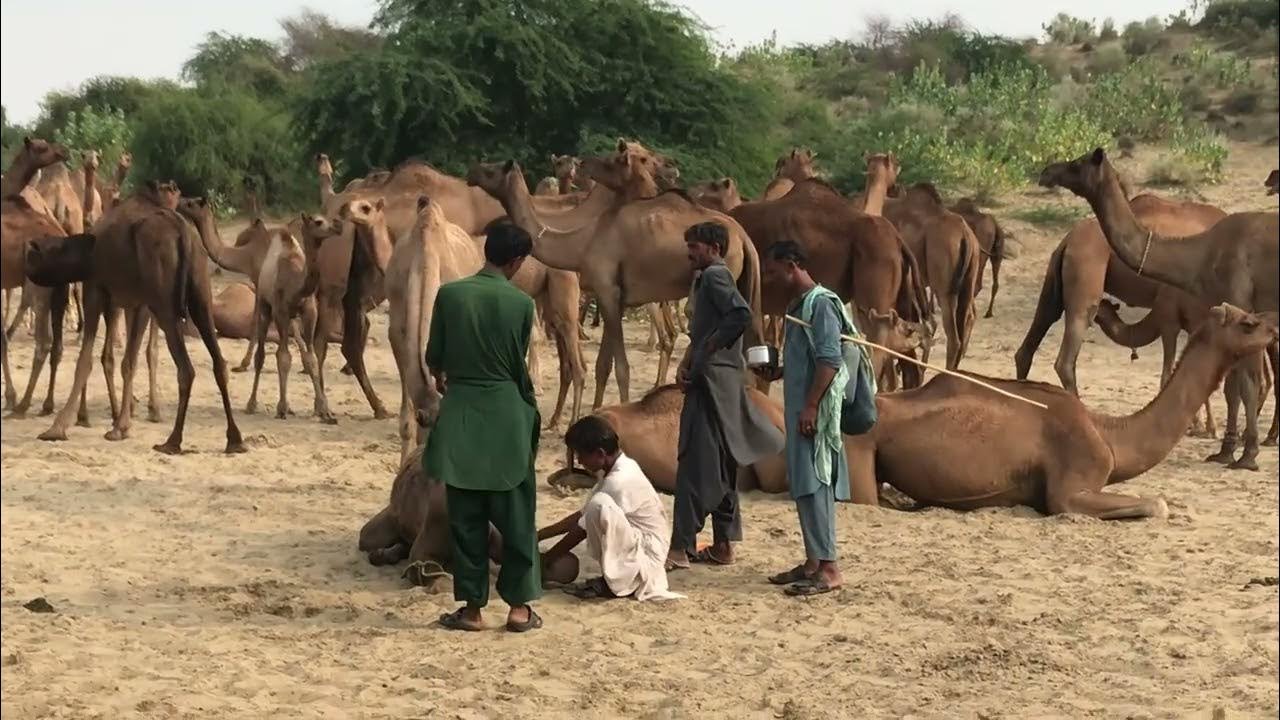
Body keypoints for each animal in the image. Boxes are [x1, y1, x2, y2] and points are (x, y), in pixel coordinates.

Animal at [27, 179, 246, 453]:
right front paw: (121, 426)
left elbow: (85, 361)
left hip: (163, 302)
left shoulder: (96, 289)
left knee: (186, 369)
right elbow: (127, 362)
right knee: (219, 362)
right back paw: (235, 440)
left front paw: (57, 428)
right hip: (200, 294)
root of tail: (183, 233)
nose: (26, 261)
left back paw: (172, 441)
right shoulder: (136, 303)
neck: (88, 250)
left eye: (35, 255)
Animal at [467, 147, 764, 408]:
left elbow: (621, 368)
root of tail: (743, 237)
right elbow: (603, 365)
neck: (582, 242)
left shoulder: (607, 290)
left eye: (492, 169)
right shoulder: (614, 296)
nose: (472, 171)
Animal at [843, 304, 1277, 518]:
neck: (1109, 435)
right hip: (857, 450)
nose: (1274, 328)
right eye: (1248, 324)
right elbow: (1157, 504)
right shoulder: (1070, 489)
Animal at [862, 154, 979, 371]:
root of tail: (966, 236)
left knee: (953, 335)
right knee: (968, 316)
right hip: (968, 280)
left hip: (944, 287)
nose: (895, 186)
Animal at [1039, 148, 1279, 469]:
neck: (1202, 255)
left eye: (1078, 163)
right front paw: (1226, 450)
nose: (1046, 172)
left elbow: (1247, 383)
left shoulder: (1242, 304)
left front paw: (1247, 454)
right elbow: (1232, 384)